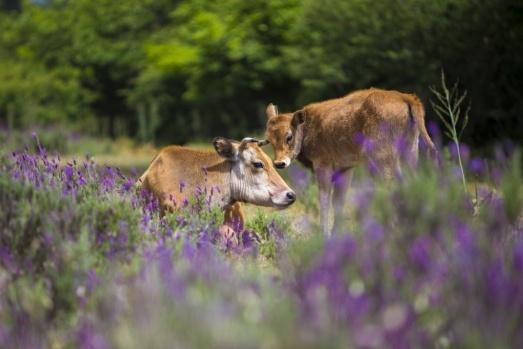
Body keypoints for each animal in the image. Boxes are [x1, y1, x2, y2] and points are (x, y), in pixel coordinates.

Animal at [264, 88, 436, 238]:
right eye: (269, 139)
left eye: (289, 136)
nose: (279, 163)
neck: (307, 127)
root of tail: (406, 97)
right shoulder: (346, 168)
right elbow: (339, 202)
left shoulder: (323, 164)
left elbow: (324, 199)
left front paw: (325, 235)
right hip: (409, 155)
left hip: (385, 159)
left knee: (395, 188)